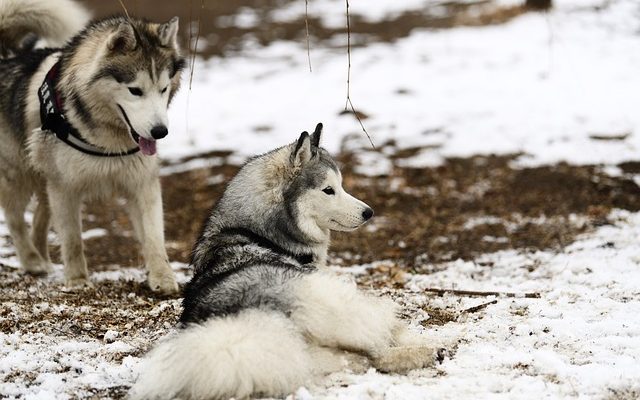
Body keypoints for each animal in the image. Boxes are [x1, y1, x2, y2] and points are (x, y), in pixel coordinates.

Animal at [0, 0, 185, 294]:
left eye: (164, 89)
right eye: (135, 90)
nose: (160, 132)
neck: (107, 139)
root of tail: (8, 54)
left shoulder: (142, 182)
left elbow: (154, 235)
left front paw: (162, 277)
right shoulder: (65, 187)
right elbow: (73, 238)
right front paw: (77, 279)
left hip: (44, 179)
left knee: (40, 218)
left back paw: (43, 259)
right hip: (19, 175)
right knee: (15, 219)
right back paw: (31, 260)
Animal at [131, 123, 444, 398]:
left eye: (341, 185)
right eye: (328, 190)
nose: (369, 212)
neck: (257, 231)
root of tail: (258, 319)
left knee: (371, 359)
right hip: (334, 302)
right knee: (380, 346)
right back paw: (430, 350)